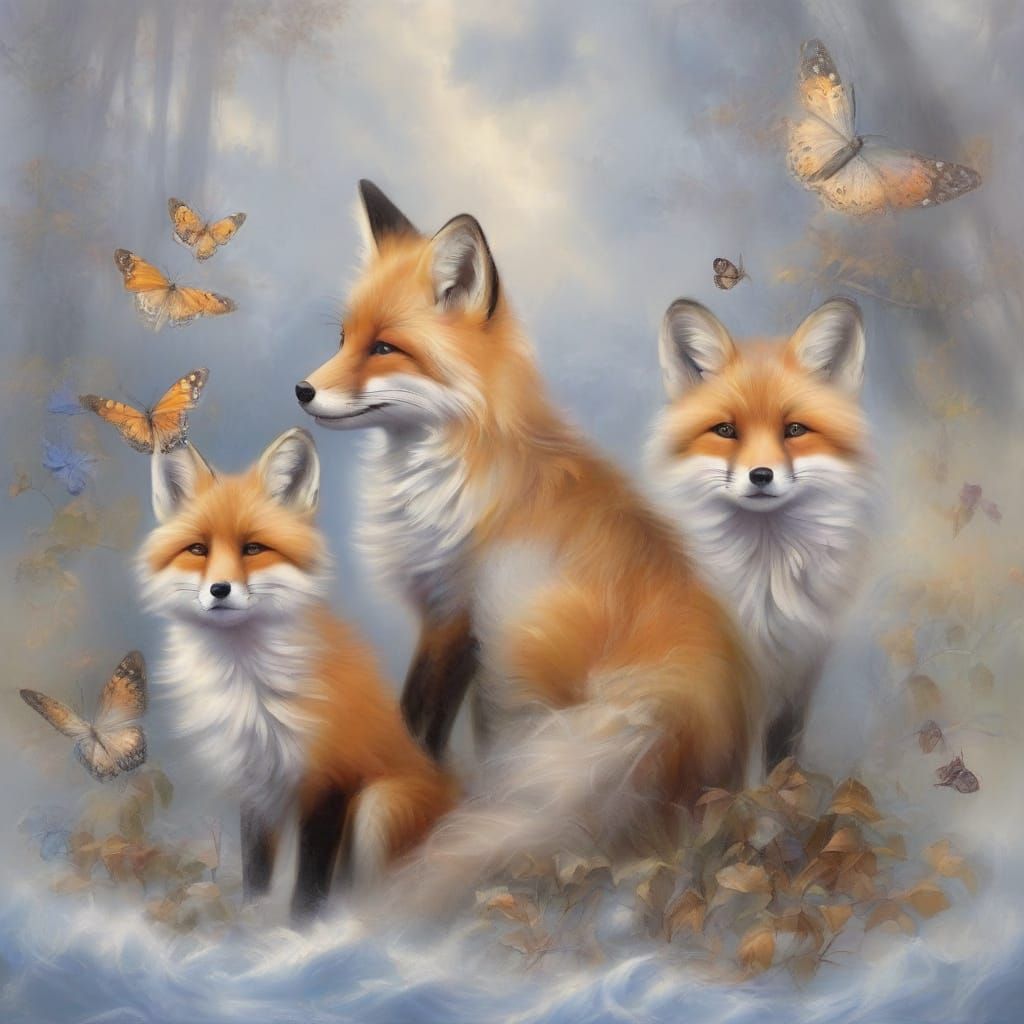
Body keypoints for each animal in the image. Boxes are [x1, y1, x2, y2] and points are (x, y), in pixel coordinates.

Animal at [137, 427, 456, 920]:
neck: (250, 685)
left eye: (252, 548)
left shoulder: (330, 778)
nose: (219, 590)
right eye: (198, 550)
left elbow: (311, 880)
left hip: (380, 805)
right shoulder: (255, 778)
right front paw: (250, 919)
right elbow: (257, 867)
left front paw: (302, 930)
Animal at [646, 297, 874, 777]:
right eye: (726, 431)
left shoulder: (805, 664)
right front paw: (753, 800)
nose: (761, 475)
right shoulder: (742, 680)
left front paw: (789, 789)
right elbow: (748, 767)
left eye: (794, 430)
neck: (768, 581)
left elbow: (788, 748)